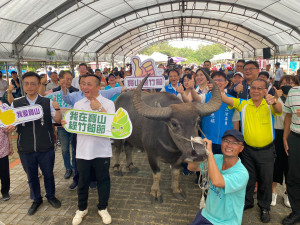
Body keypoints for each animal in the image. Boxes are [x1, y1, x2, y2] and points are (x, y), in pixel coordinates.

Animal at [112, 71, 220, 203]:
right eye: (174, 123)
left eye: (198, 121)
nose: (199, 153)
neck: (169, 144)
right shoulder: (151, 155)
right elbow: (157, 174)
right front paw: (155, 192)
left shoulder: (180, 157)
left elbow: (175, 173)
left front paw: (177, 190)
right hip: (117, 136)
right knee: (117, 149)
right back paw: (117, 168)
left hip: (132, 137)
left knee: (128, 147)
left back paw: (131, 166)